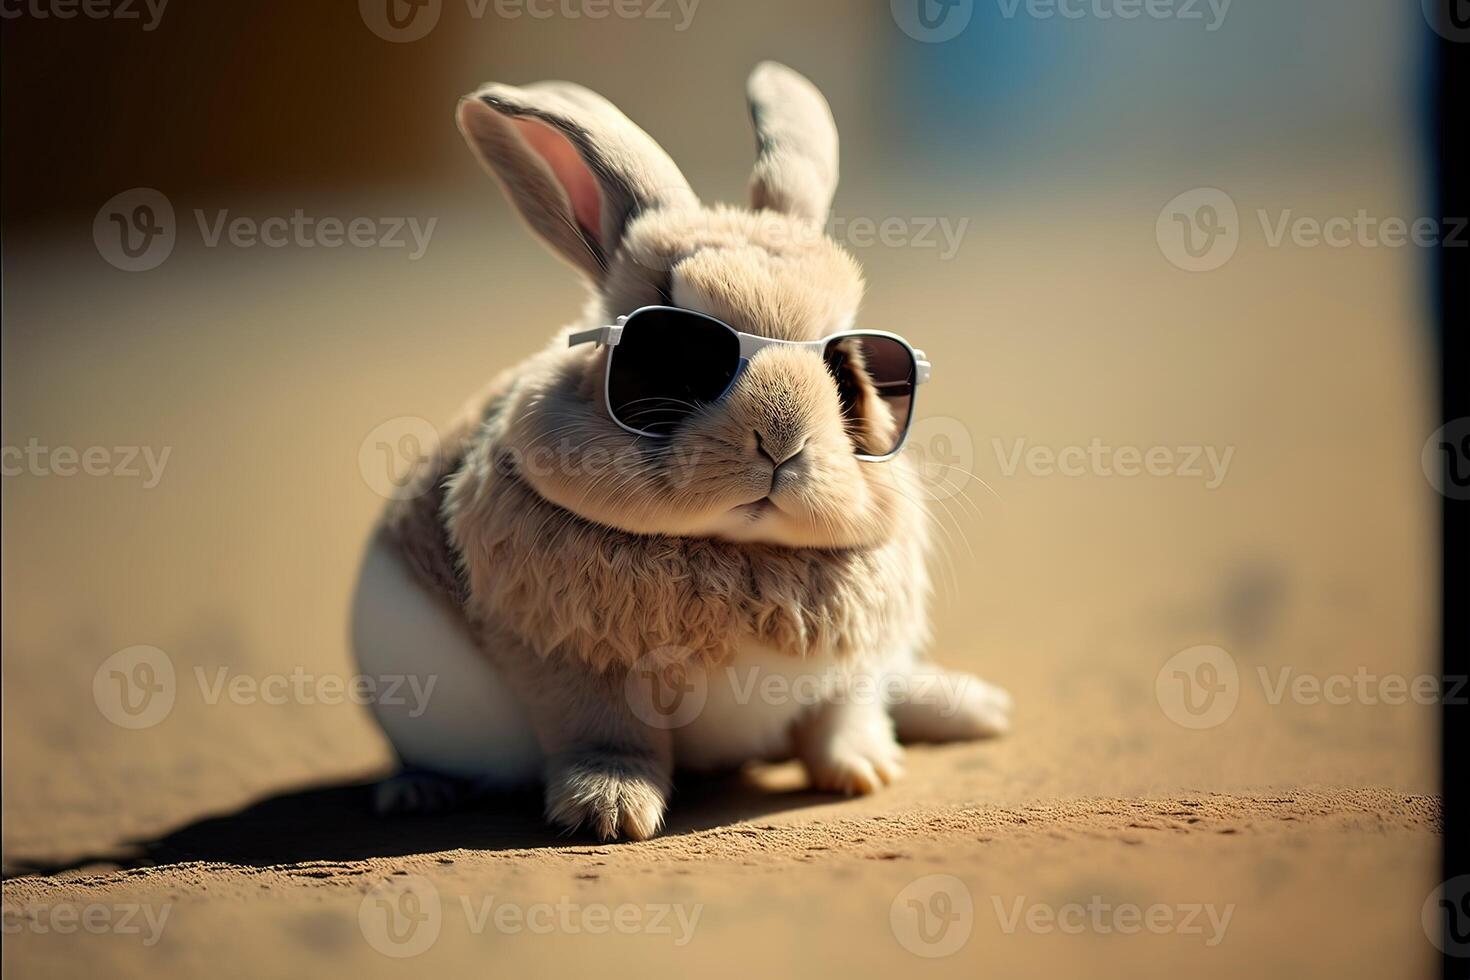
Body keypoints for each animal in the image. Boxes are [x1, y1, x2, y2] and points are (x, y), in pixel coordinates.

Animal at [351, 62, 1011, 840]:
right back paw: (415, 793)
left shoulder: (849, 673)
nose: (783, 439)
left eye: (849, 374)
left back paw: (977, 710)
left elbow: (838, 723)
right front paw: (607, 812)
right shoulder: (571, 665)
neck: (740, 553)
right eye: (670, 356)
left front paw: (864, 774)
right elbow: (606, 737)